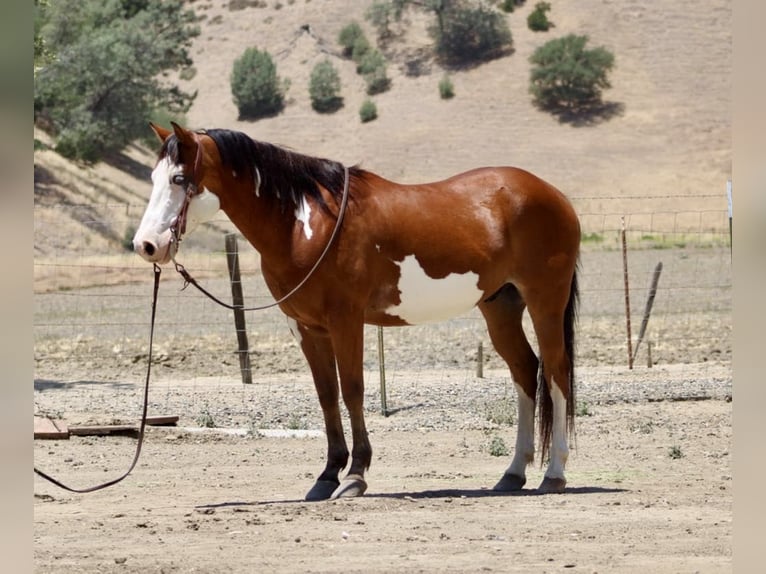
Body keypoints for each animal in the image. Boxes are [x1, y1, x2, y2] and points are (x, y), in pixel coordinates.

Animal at [133, 122, 581, 500]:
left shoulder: (346, 320)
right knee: (525, 372)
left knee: (556, 373)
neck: (305, 225)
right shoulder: (306, 327)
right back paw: (513, 474)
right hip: (500, 307)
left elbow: (352, 390)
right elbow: (327, 395)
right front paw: (327, 475)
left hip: (545, 301)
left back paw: (554, 474)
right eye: (154, 179)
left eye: (178, 179)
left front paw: (355, 476)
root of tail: (553, 195)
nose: (146, 245)